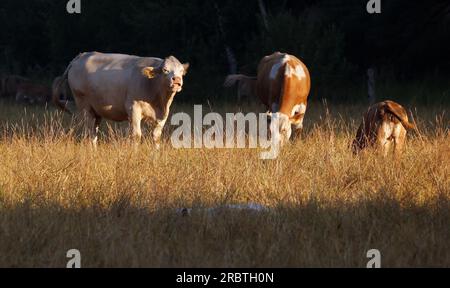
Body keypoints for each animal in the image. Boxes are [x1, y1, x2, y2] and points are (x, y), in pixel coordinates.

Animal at [53, 51, 189, 146]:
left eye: (181, 71)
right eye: (165, 70)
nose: (176, 80)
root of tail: (81, 56)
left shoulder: (163, 115)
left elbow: (156, 136)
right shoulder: (133, 108)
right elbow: (136, 135)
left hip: (97, 111)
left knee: (94, 134)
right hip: (84, 106)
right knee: (89, 132)